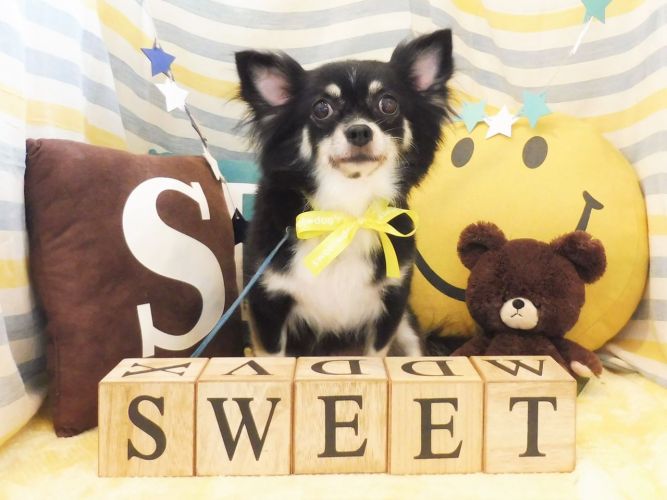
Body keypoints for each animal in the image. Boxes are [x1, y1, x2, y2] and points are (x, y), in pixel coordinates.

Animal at [235, 29, 454, 357]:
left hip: (408, 327)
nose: (359, 131)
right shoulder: (267, 307)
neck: (348, 210)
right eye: (321, 108)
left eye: (388, 104)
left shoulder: (391, 305)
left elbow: (376, 357)